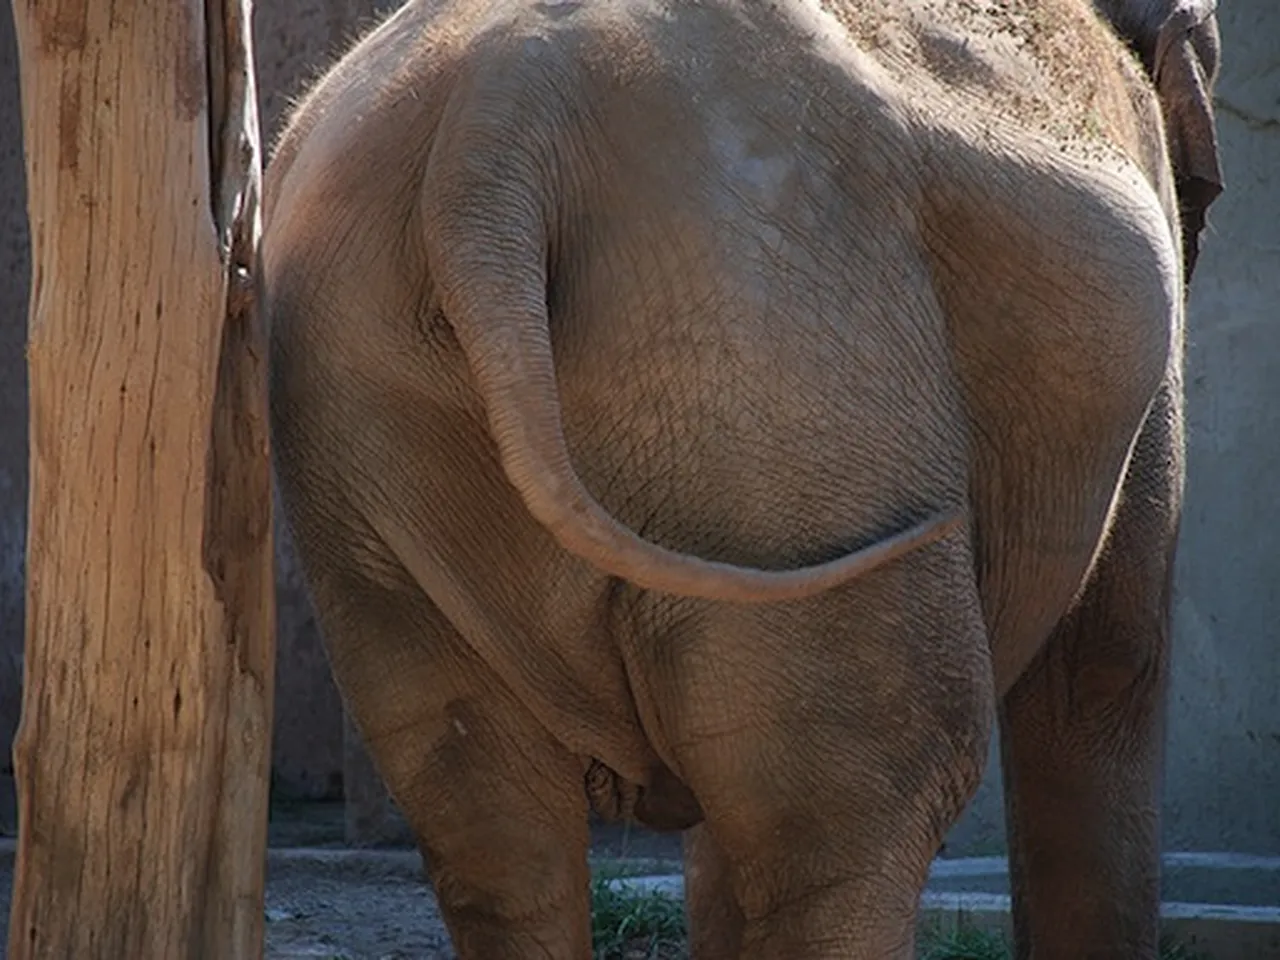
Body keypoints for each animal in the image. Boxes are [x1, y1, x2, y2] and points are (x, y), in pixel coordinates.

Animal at [262, 0, 1223, 956]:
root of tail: (493, 132)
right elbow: (1105, 668)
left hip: (377, 415)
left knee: (492, 828)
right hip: (782, 376)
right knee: (863, 801)